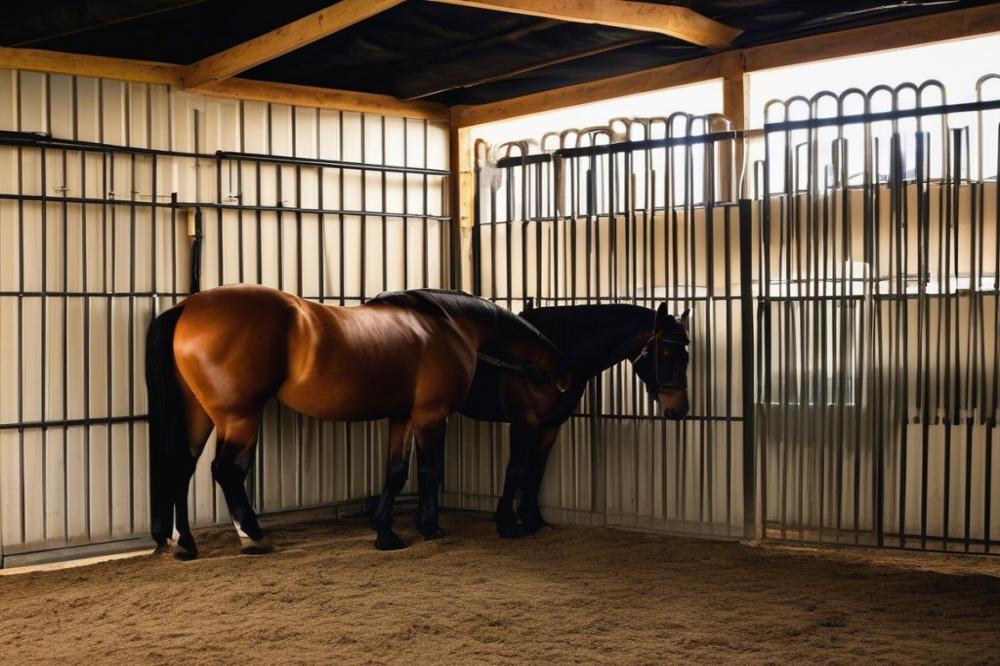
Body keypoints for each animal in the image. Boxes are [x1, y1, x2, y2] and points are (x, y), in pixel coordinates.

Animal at [145, 284, 576, 556]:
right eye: (548, 386)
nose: (554, 420)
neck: (451, 326)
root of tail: (188, 308)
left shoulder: (402, 416)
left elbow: (395, 472)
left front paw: (385, 531)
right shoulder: (431, 415)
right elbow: (429, 472)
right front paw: (429, 527)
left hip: (200, 413)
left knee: (182, 467)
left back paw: (186, 544)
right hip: (239, 416)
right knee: (227, 470)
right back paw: (253, 538)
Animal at [458, 304, 688, 536]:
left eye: (685, 356)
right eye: (667, 354)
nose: (680, 409)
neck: (547, 355)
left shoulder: (550, 426)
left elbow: (536, 469)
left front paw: (533, 519)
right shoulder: (523, 423)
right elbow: (515, 469)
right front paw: (506, 524)